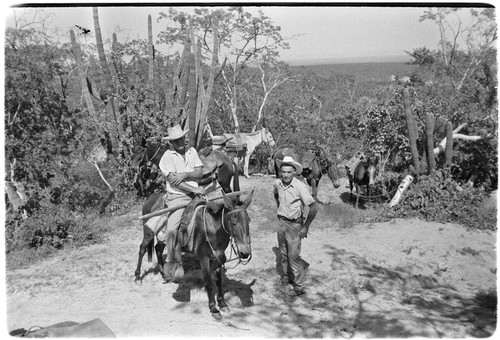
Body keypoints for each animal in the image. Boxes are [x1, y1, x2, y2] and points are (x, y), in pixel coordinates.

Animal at [134, 161, 254, 320]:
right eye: (233, 222)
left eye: (248, 221)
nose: (245, 253)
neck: (212, 227)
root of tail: (151, 197)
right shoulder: (203, 257)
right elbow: (209, 282)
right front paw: (213, 309)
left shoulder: (218, 255)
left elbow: (218, 281)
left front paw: (222, 303)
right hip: (148, 232)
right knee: (142, 249)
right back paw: (137, 277)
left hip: (164, 237)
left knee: (158, 249)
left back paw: (164, 274)